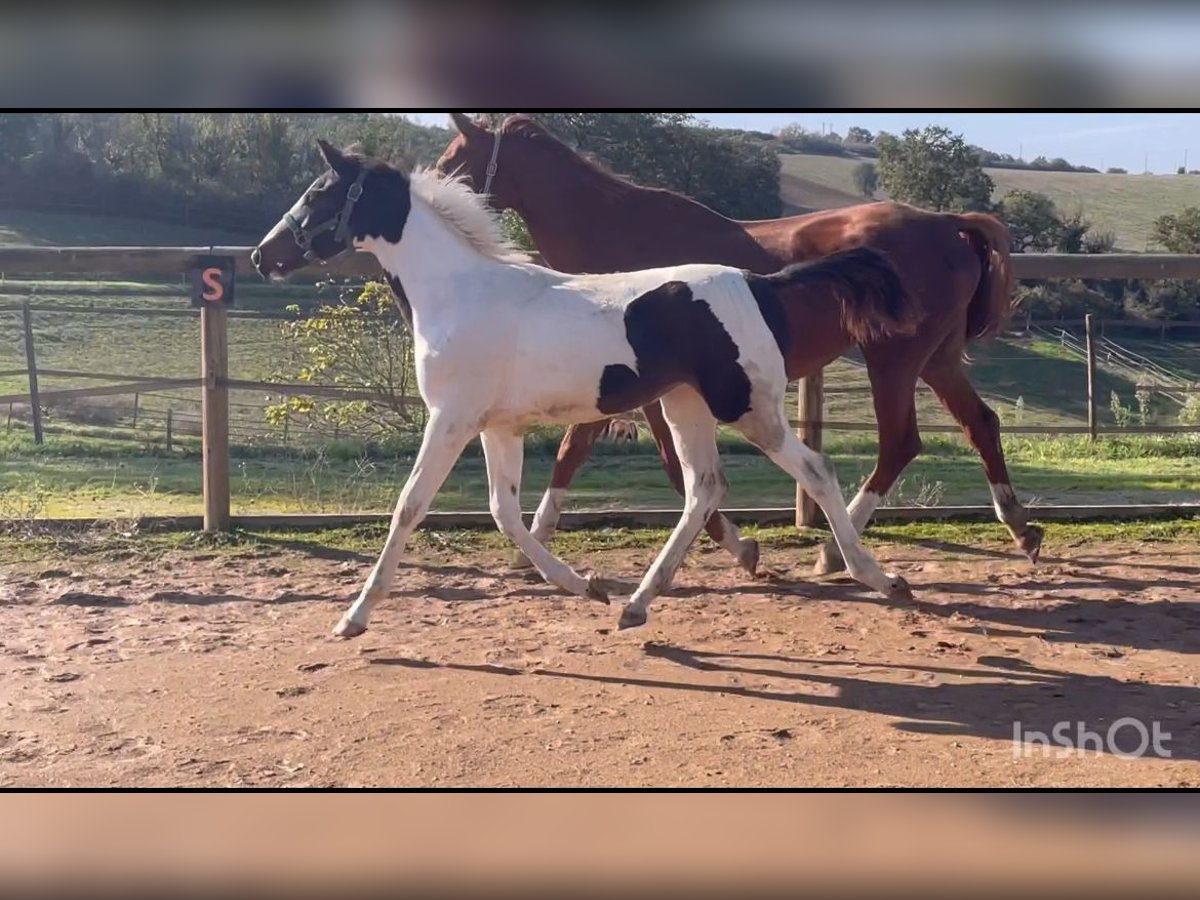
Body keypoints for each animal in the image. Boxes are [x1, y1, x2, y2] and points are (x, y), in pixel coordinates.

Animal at [248, 141, 912, 633]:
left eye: (318, 193)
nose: (262, 256)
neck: (461, 292)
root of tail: (761, 282)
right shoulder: (497, 427)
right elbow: (505, 512)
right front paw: (584, 586)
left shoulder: (451, 418)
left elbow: (411, 505)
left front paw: (354, 616)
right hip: (684, 405)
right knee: (704, 486)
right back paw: (635, 603)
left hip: (748, 407)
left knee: (815, 469)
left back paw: (878, 577)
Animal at [434, 114, 1041, 578]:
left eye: (451, 162)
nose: (432, 196)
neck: (618, 236)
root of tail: (949, 223)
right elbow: (575, 450)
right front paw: (535, 545)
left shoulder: (648, 386)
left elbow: (666, 466)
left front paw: (740, 546)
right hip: (936, 360)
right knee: (980, 423)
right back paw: (1019, 527)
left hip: (893, 359)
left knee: (899, 442)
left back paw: (833, 552)